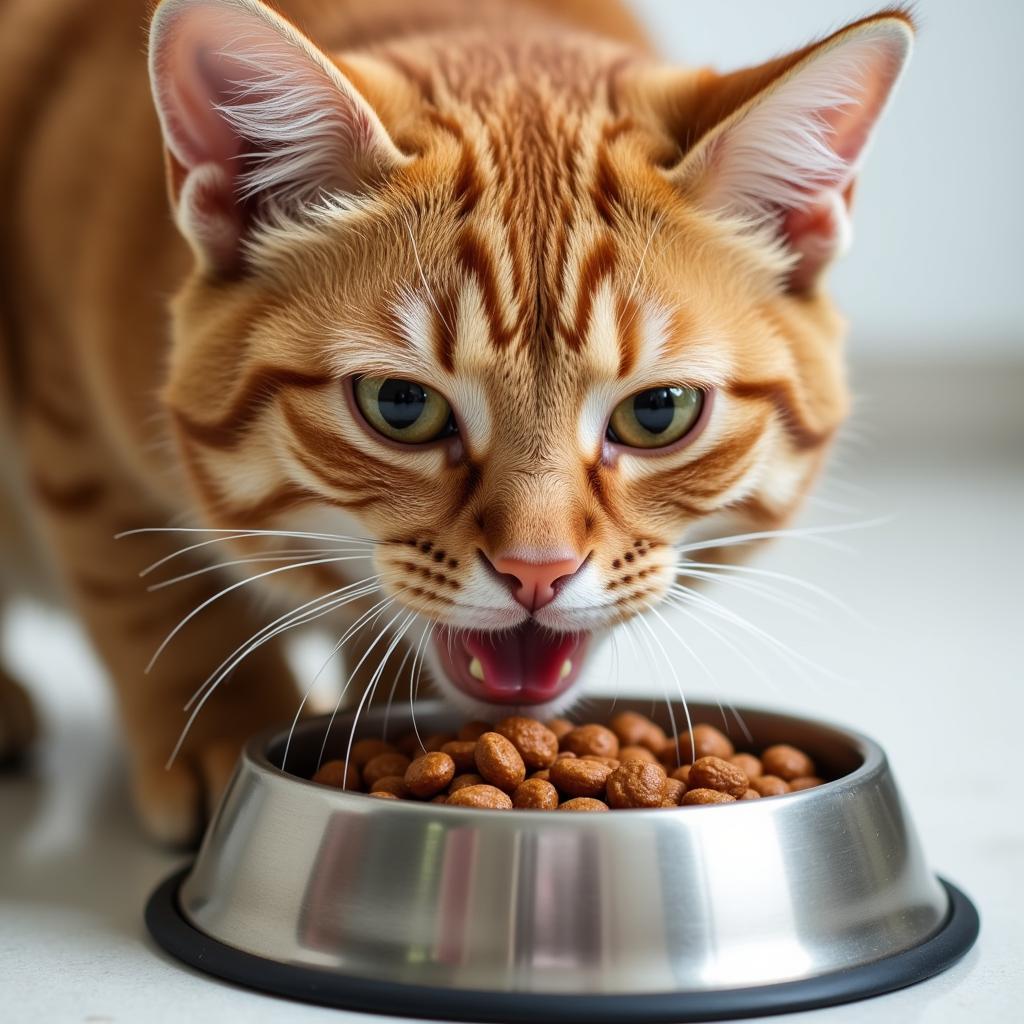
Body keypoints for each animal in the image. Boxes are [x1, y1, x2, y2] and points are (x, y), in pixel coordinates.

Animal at [0, 0, 913, 843]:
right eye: (401, 406)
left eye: (659, 412)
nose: (537, 572)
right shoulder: (76, 429)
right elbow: (154, 598)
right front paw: (226, 730)